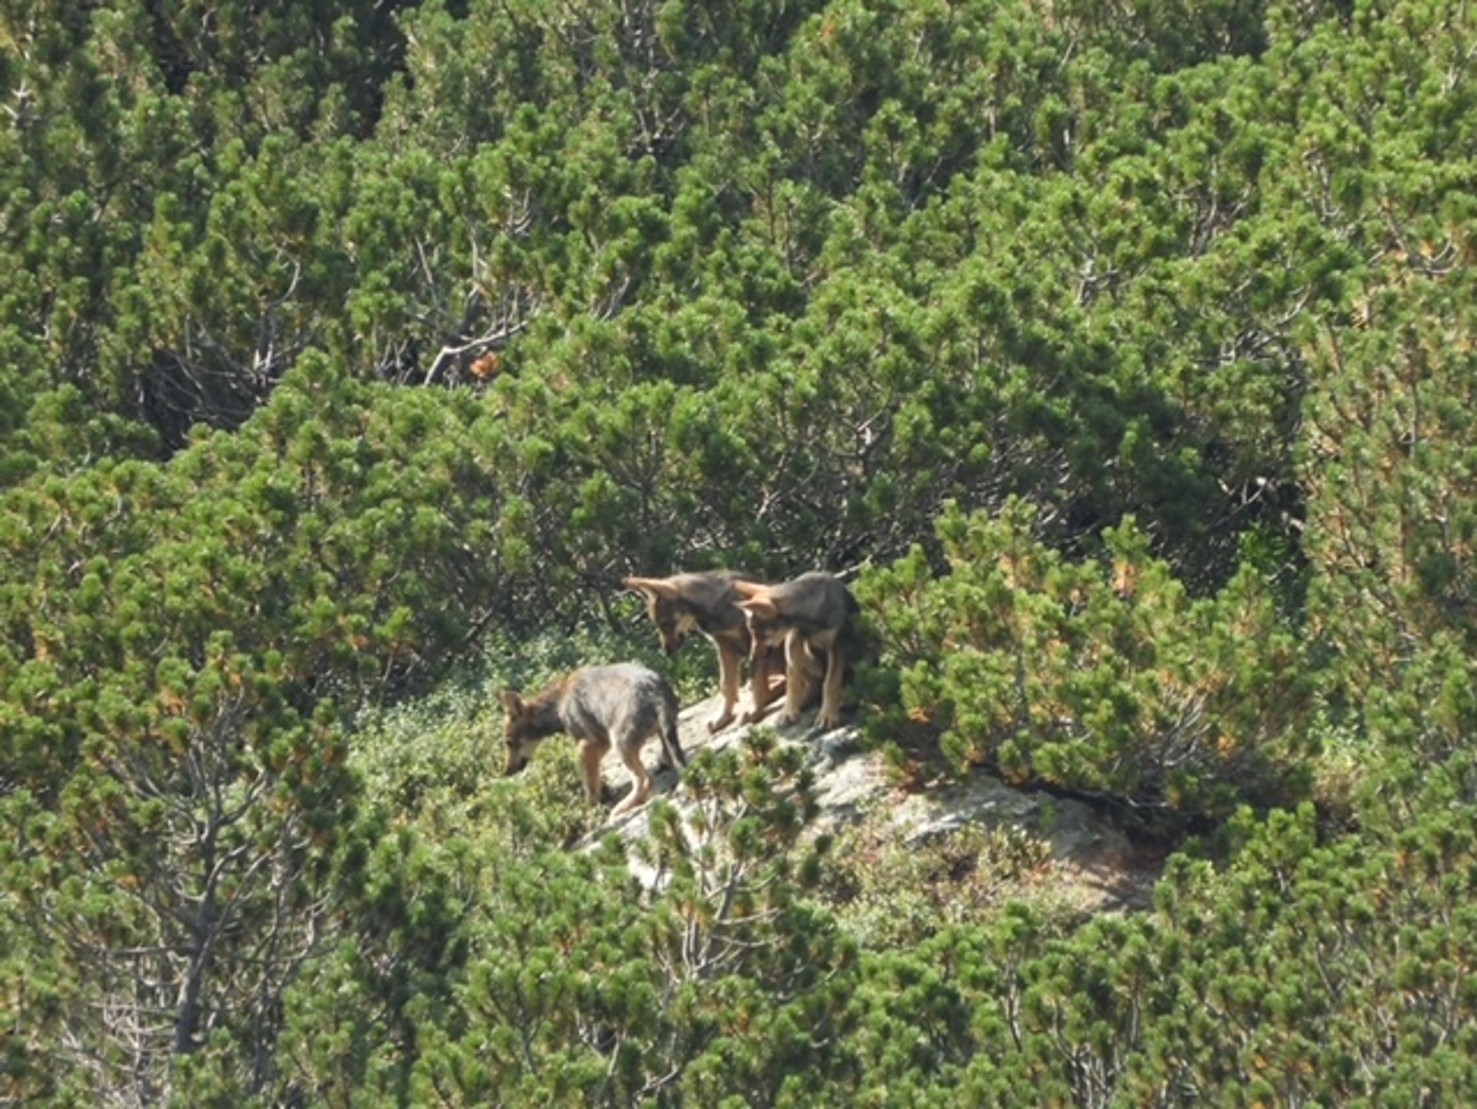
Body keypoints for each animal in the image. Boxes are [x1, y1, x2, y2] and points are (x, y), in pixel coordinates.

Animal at [500, 663, 687, 818]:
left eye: (508, 742)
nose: (507, 772)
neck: (559, 705)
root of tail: (656, 691)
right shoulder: (600, 743)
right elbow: (595, 777)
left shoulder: (587, 745)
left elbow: (589, 786)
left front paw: (591, 810)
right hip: (656, 734)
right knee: (667, 759)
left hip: (620, 746)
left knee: (645, 781)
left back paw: (620, 809)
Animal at [624, 571, 786, 732]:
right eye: (657, 625)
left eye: (665, 623)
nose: (666, 652)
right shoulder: (724, 647)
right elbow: (726, 686)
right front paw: (723, 717)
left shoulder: (755, 643)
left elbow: (757, 683)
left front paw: (754, 711)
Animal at [731, 571, 861, 731]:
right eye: (752, 633)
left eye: (760, 635)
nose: (751, 658)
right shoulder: (794, 634)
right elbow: (792, 682)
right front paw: (788, 711)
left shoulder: (836, 644)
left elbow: (830, 683)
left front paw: (828, 714)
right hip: (796, 650)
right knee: (812, 684)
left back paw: (844, 697)